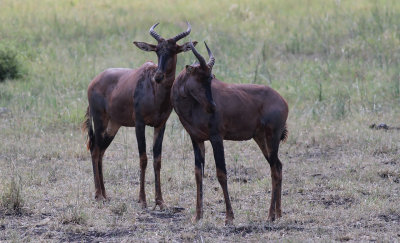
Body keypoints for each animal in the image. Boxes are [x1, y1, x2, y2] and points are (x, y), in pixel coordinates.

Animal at [82, 23, 198, 209]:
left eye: (174, 50)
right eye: (157, 50)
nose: (158, 76)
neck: (154, 90)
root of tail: (94, 82)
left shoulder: (160, 125)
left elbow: (157, 160)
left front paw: (160, 201)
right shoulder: (139, 124)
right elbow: (143, 158)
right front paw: (142, 200)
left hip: (113, 125)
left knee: (101, 151)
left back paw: (105, 194)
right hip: (100, 120)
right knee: (95, 150)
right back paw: (99, 195)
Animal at [170, 41, 290, 224]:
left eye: (211, 78)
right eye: (199, 78)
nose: (213, 107)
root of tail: (283, 101)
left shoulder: (216, 138)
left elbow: (221, 173)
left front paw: (229, 217)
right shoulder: (196, 139)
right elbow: (198, 174)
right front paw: (197, 216)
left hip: (273, 136)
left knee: (275, 170)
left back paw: (270, 215)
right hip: (261, 138)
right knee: (278, 165)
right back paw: (278, 212)